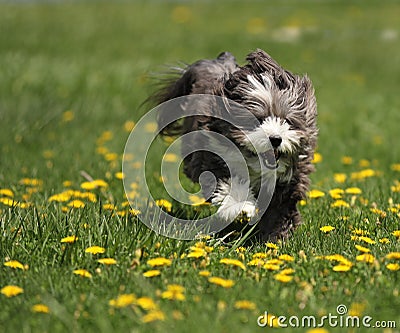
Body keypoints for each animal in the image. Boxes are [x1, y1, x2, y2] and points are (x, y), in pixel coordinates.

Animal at [152, 48, 318, 241]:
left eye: (287, 121)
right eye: (257, 120)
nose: (276, 139)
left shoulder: (288, 182)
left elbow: (280, 211)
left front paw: (275, 238)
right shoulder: (212, 162)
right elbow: (229, 186)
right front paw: (244, 207)